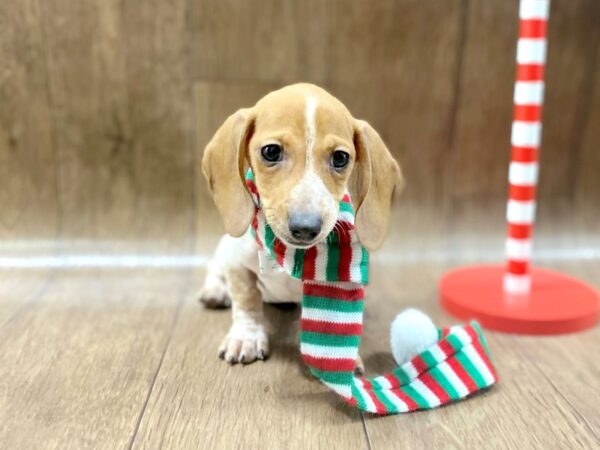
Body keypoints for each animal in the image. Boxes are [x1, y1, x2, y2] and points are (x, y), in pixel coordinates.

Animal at [199, 82, 400, 368]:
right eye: (271, 151)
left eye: (340, 158)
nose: (305, 227)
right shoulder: (238, 264)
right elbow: (246, 301)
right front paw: (246, 337)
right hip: (224, 246)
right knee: (214, 269)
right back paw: (215, 290)